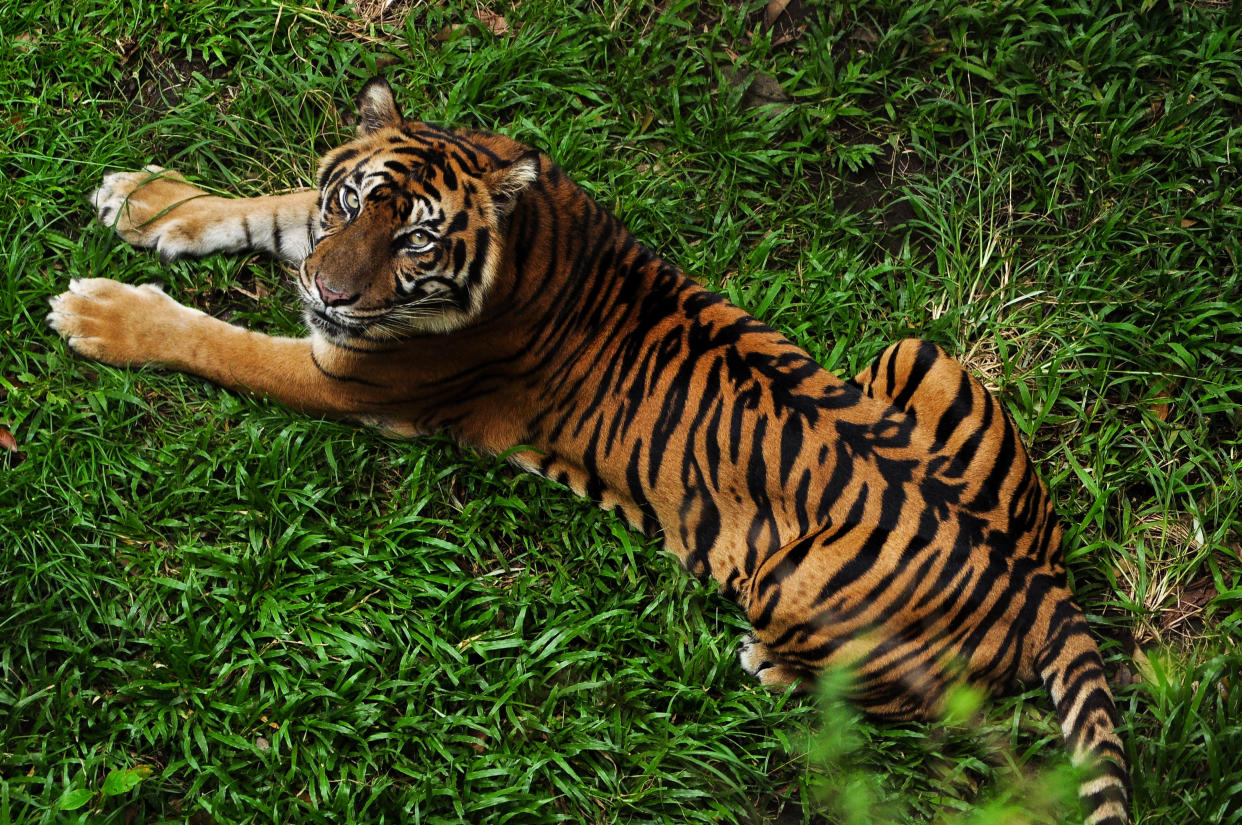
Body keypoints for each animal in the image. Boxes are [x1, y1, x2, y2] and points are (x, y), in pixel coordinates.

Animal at [48, 78, 1132, 825]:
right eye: (353, 205)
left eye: (417, 244)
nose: (332, 293)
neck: (524, 240)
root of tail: (1043, 582)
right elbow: (264, 205)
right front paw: (146, 200)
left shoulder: (350, 373)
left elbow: (219, 343)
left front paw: (101, 311)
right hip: (923, 354)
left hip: (802, 587)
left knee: (907, 696)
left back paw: (774, 668)